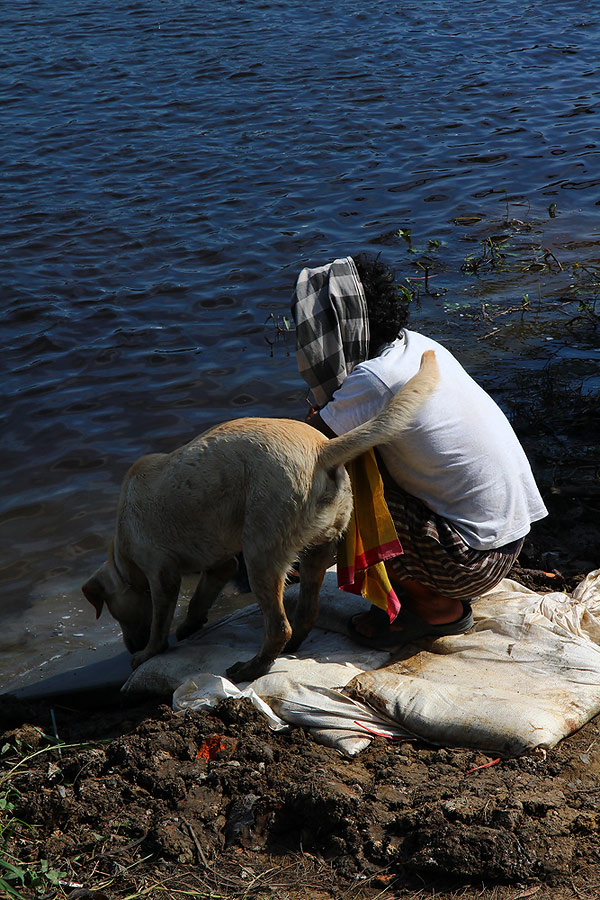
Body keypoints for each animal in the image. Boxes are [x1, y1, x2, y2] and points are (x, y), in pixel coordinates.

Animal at [82, 348, 438, 680]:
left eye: (114, 612)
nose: (131, 646)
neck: (122, 547)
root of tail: (322, 451)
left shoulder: (162, 576)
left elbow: (159, 623)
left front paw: (149, 653)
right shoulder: (220, 565)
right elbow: (199, 597)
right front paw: (189, 625)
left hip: (260, 552)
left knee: (279, 625)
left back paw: (252, 667)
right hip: (317, 548)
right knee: (306, 612)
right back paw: (289, 649)